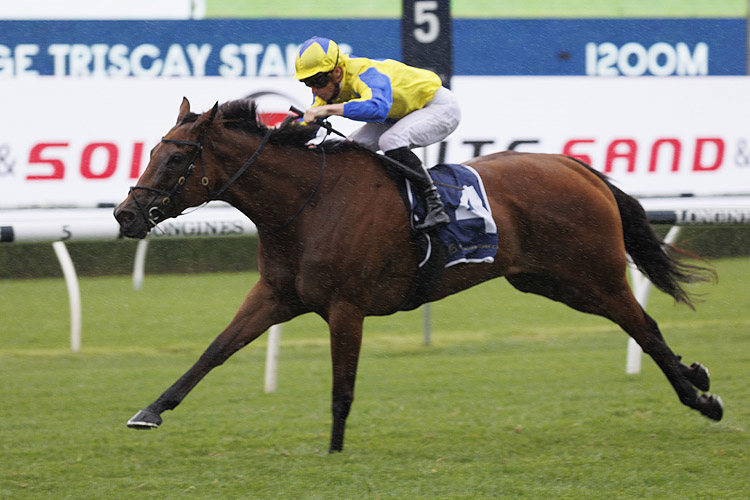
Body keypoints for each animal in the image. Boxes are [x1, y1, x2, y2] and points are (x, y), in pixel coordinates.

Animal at [114, 97, 724, 454]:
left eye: (176, 158)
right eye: (153, 152)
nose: (125, 215)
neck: (307, 204)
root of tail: (575, 166)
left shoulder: (346, 307)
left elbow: (342, 384)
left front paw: (334, 449)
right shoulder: (276, 295)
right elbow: (215, 350)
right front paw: (150, 411)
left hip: (592, 274)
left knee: (643, 326)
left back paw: (702, 399)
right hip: (548, 280)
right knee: (637, 326)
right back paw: (696, 378)